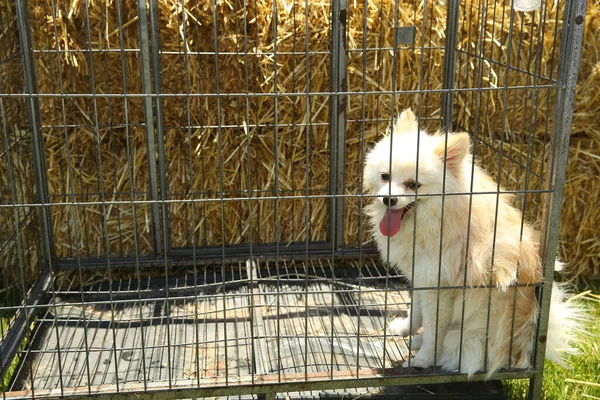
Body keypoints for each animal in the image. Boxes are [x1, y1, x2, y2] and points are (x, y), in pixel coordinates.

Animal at [364, 109, 584, 378]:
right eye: (385, 177)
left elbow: (434, 331)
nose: (388, 199)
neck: (441, 214)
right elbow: (416, 310)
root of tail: (526, 345)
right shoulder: (422, 275)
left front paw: (423, 360)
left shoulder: (440, 289)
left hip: (472, 334)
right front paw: (406, 329)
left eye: (413, 185)